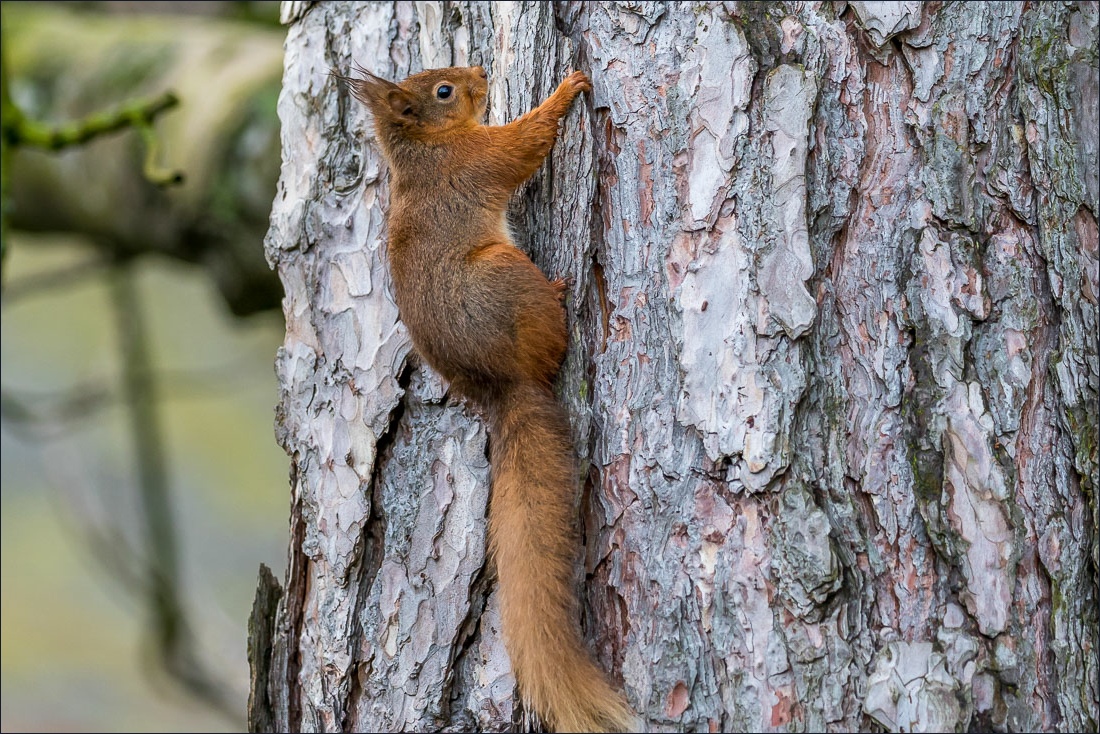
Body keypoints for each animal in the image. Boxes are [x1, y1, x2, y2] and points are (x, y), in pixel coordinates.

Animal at [341, 66, 638, 730]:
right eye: (443, 91)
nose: (480, 72)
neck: (425, 149)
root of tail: (500, 387)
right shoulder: (478, 161)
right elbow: (522, 144)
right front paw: (567, 90)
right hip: (505, 276)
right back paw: (561, 294)